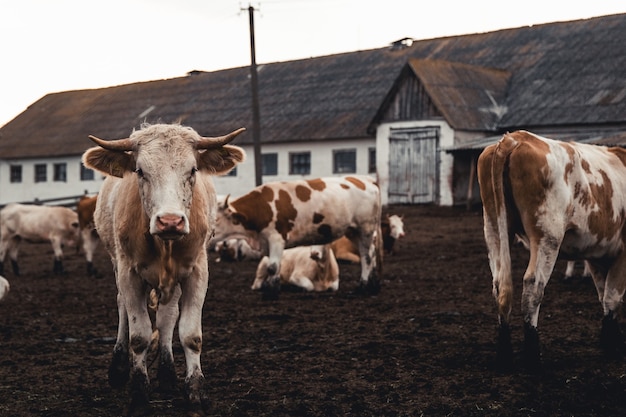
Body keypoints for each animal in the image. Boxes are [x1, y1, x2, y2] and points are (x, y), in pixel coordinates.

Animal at [78, 122, 244, 412]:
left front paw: (195, 392)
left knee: (167, 316)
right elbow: (139, 336)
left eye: (193, 170)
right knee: (122, 306)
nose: (170, 222)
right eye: (140, 171)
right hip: (117, 264)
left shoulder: (197, 272)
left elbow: (190, 334)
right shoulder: (129, 272)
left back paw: (167, 375)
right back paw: (119, 368)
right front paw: (138, 394)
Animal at [213, 175, 380, 296]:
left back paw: (364, 286)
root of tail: (366, 180)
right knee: (370, 254)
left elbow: (273, 267)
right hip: (353, 231)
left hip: (365, 228)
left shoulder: (277, 238)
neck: (262, 207)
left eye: (215, 219)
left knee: (367, 257)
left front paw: (271, 293)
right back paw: (371, 285)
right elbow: (275, 267)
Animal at [478, 129, 626, 368]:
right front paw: (613, 346)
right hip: (548, 235)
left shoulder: (597, 255)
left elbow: (604, 294)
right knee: (533, 286)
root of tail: (515, 138)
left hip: (493, 227)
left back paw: (504, 355)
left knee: (500, 285)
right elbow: (612, 297)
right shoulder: (622, 253)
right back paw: (533, 357)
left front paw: (611, 341)